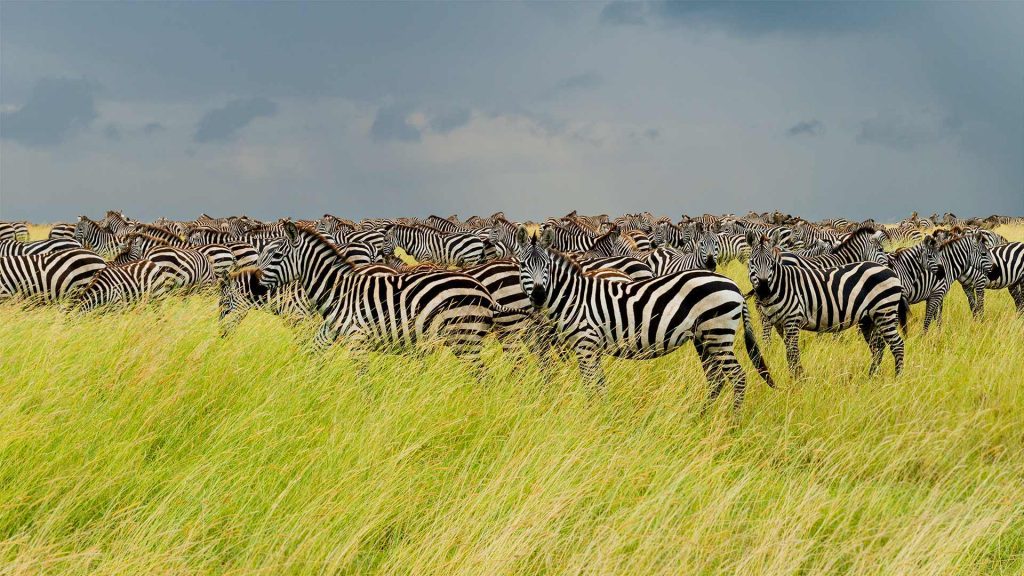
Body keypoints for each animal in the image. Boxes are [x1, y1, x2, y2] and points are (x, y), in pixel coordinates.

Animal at [256, 222, 495, 368]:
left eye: (276, 255)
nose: (256, 287)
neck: (339, 291)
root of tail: (482, 289)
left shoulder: (357, 340)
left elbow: (364, 382)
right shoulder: (331, 333)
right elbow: (313, 353)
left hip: (465, 338)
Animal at [516, 224, 770, 403]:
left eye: (546, 266)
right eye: (523, 266)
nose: (538, 296)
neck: (574, 297)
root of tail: (734, 286)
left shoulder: (586, 346)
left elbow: (590, 386)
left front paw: (592, 416)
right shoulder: (592, 348)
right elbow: (600, 385)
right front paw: (603, 413)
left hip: (718, 334)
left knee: (738, 378)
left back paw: (733, 425)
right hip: (704, 338)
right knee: (716, 379)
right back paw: (702, 417)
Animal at [745, 230, 905, 375]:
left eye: (772, 264)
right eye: (751, 263)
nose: (763, 290)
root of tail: (890, 273)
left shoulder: (793, 320)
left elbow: (792, 353)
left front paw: (798, 380)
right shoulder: (781, 323)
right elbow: (790, 353)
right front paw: (795, 378)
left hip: (884, 312)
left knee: (897, 345)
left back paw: (896, 378)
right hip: (870, 318)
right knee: (879, 346)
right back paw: (872, 376)